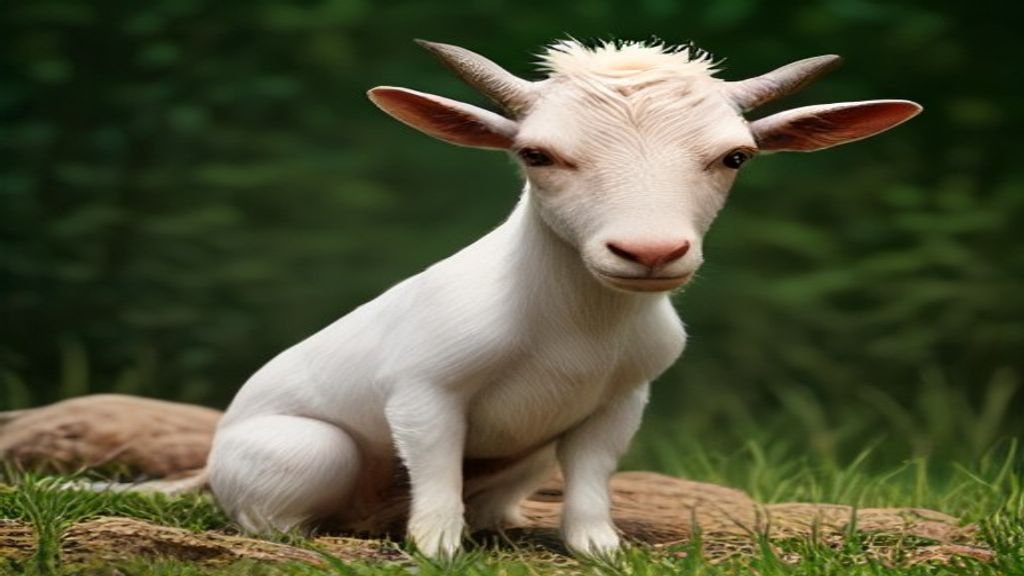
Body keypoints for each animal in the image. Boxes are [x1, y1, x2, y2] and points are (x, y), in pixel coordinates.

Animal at [206, 39, 921, 558]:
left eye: (736, 157)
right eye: (536, 154)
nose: (650, 252)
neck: (577, 328)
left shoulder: (620, 400)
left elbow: (592, 477)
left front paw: (599, 549)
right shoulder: (424, 390)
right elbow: (435, 471)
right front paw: (436, 550)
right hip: (301, 451)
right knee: (277, 512)